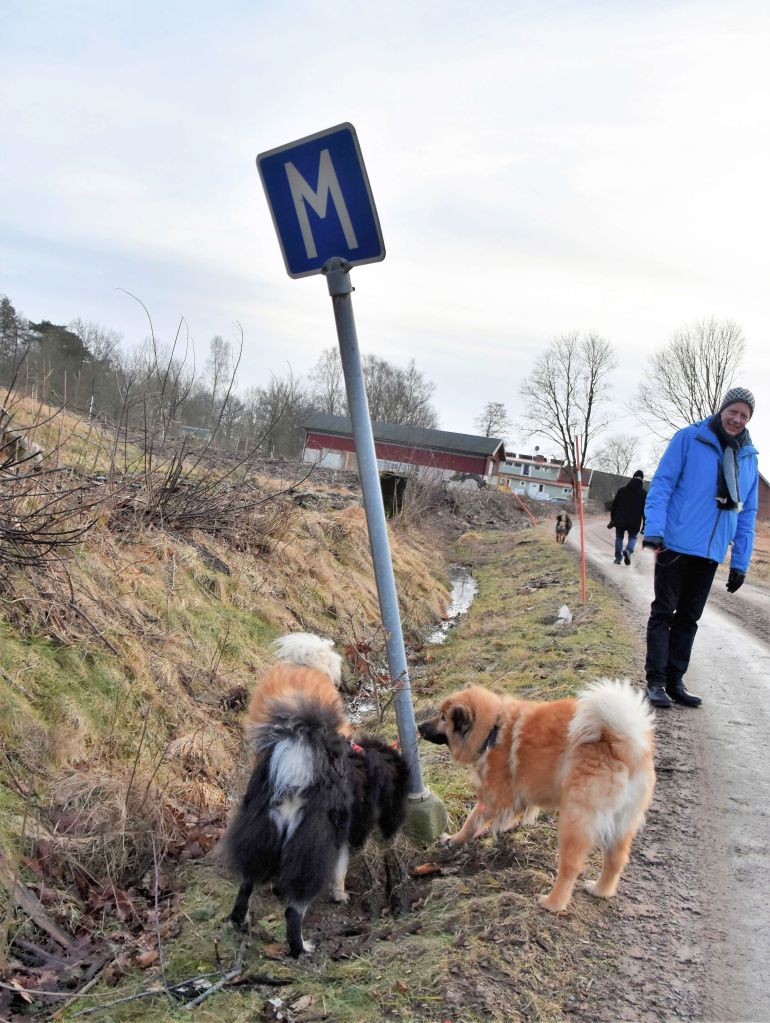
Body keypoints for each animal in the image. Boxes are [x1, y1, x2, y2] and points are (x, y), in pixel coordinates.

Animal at [226, 695, 409, 956]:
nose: (394, 830)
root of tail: (296, 769)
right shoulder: (342, 836)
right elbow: (340, 870)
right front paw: (340, 896)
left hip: (264, 837)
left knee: (245, 886)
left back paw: (241, 922)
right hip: (314, 845)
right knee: (294, 911)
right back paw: (302, 948)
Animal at [418, 679, 654, 913]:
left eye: (443, 717)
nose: (419, 727)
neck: (492, 730)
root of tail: (617, 742)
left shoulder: (494, 795)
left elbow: (472, 820)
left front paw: (454, 839)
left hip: (575, 820)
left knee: (570, 867)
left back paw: (553, 903)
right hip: (622, 823)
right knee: (615, 860)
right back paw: (600, 890)